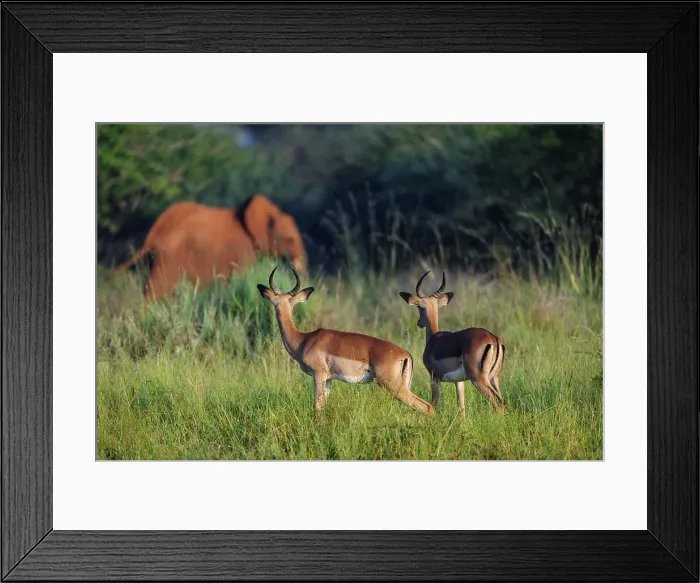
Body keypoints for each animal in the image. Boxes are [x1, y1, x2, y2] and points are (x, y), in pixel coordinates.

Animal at [257, 265, 435, 419]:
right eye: (276, 301)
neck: (303, 340)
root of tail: (406, 354)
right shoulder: (328, 379)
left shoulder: (318, 375)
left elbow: (317, 407)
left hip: (392, 386)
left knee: (427, 407)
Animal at [399, 271, 505, 415]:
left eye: (419, 307)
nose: (419, 323)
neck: (434, 338)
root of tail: (493, 338)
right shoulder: (459, 381)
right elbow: (461, 407)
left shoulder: (434, 376)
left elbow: (434, 403)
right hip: (494, 378)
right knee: (502, 402)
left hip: (478, 379)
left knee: (497, 403)